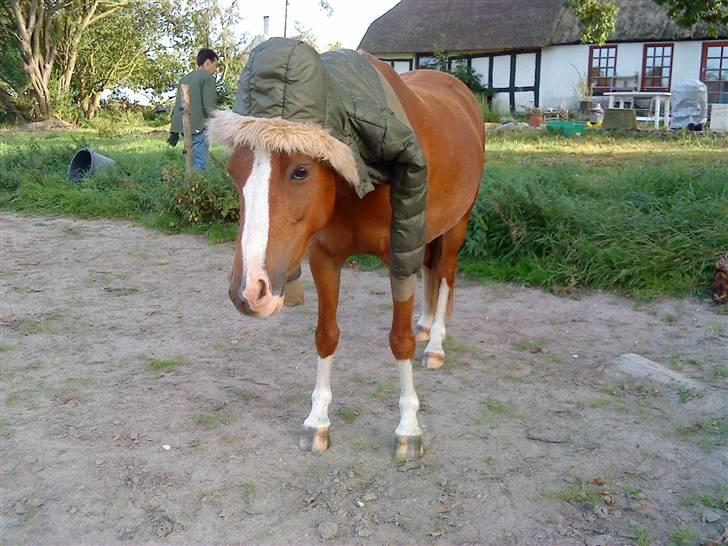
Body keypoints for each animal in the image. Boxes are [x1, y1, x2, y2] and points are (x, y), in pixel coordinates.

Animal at [210, 52, 485, 460]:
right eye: (233, 171)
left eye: (301, 170)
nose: (249, 292)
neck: (355, 179)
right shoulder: (326, 258)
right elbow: (326, 335)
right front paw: (317, 422)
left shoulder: (398, 255)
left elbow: (399, 340)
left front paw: (408, 428)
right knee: (430, 274)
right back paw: (424, 324)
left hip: (456, 226)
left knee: (446, 275)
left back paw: (435, 343)